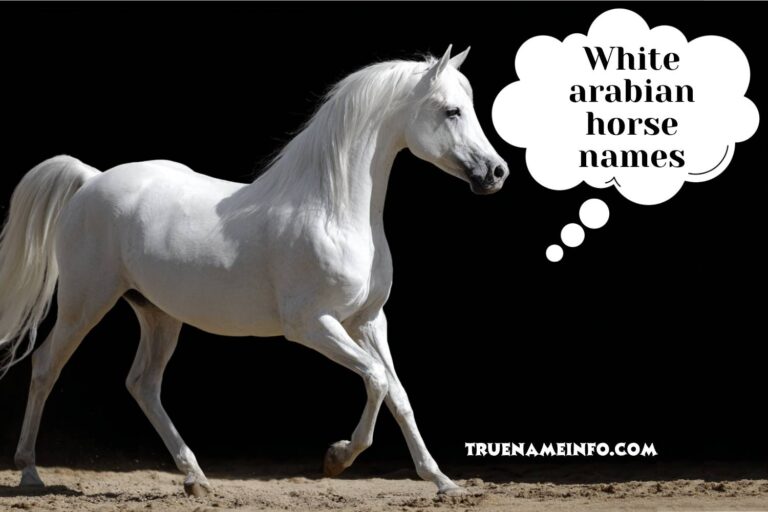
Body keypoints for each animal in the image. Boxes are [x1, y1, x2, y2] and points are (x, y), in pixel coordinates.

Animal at [0, 45, 508, 497]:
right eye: (452, 111)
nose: (496, 172)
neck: (332, 211)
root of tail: (92, 180)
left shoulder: (368, 321)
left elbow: (399, 395)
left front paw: (442, 482)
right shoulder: (312, 326)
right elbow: (377, 380)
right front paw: (336, 458)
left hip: (159, 314)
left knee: (143, 384)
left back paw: (196, 478)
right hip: (84, 304)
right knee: (46, 367)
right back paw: (30, 473)